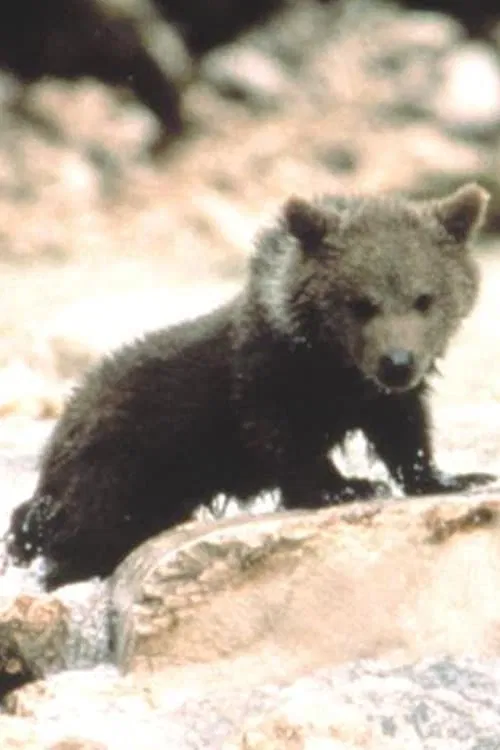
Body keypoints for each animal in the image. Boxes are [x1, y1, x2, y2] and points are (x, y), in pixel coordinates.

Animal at [7, 182, 495, 590]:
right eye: (360, 302)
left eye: (424, 298)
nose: (397, 363)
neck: (330, 363)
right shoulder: (266, 378)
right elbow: (285, 441)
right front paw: (347, 485)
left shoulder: (377, 395)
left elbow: (403, 431)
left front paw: (451, 476)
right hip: (115, 472)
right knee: (83, 536)